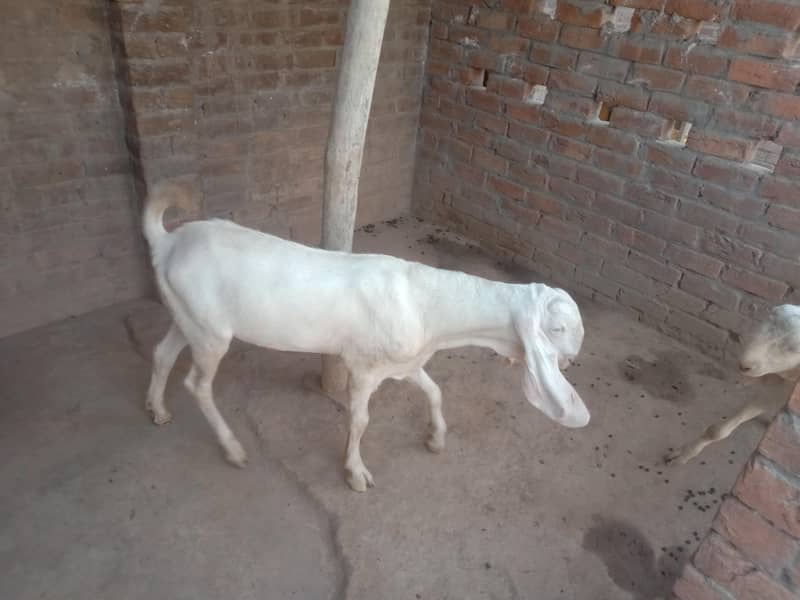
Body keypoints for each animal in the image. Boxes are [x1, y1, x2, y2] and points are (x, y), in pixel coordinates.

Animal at [141, 181, 589, 491]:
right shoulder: (363, 368)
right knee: (197, 384)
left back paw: (157, 409)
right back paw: (233, 448)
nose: (573, 358)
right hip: (210, 332)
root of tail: (168, 242)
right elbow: (359, 420)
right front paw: (356, 473)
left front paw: (436, 438)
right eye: (557, 328)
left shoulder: (405, 363)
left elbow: (435, 391)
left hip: (188, 318)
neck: (426, 303)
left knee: (162, 354)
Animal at [665, 304, 800, 465]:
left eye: (793, 348)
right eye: (766, 320)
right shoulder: (772, 392)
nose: (744, 365)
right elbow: (718, 432)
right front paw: (685, 453)